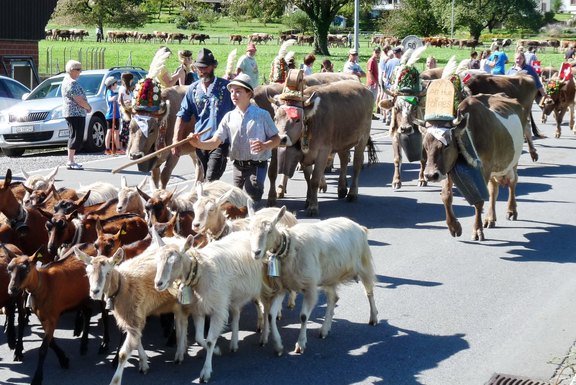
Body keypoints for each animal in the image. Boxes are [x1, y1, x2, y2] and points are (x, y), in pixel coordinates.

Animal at [73, 236, 191, 384]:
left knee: (183, 322)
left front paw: (115, 381)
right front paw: (144, 363)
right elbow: (137, 339)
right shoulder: (134, 316)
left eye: (108, 273)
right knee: (180, 321)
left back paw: (179, 353)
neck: (123, 284)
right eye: (88, 273)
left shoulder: (133, 314)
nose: (95, 292)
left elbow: (123, 354)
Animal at [153, 230, 270, 382]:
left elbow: (209, 341)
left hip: (261, 286)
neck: (201, 271)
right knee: (237, 313)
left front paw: (206, 371)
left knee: (265, 309)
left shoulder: (218, 310)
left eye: (175, 262)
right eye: (157, 261)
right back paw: (234, 343)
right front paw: (217, 351)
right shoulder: (199, 309)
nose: (158, 283)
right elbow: (199, 338)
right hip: (233, 294)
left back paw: (264, 335)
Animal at [249, 207, 378, 354]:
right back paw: (324, 330)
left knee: (369, 292)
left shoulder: (309, 286)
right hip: (330, 277)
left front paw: (300, 344)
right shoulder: (282, 288)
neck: (291, 246)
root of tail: (359, 226)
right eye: (249, 230)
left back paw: (373, 318)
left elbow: (303, 316)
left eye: (269, 230)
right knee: (333, 298)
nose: (256, 252)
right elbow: (271, 315)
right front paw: (278, 345)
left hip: (364, 264)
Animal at [268, 80, 374, 216]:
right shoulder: (305, 155)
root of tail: (365, 88)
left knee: (356, 165)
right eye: (275, 118)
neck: (310, 123)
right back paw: (341, 188)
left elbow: (314, 180)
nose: (281, 139)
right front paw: (308, 200)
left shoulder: (323, 152)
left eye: (297, 120)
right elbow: (308, 177)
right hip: (342, 142)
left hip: (363, 138)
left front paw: (313, 207)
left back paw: (352, 193)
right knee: (344, 161)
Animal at [420, 92, 528, 240]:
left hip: (512, 162)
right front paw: (454, 226)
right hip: (494, 169)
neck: (469, 134)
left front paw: (477, 230)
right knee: (494, 189)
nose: (430, 175)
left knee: (513, 181)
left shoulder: (485, 167)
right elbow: (446, 196)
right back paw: (490, 218)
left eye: (446, 146)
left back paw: (511, 211)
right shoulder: (448, 168)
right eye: (425, 146)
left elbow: (479, 201)